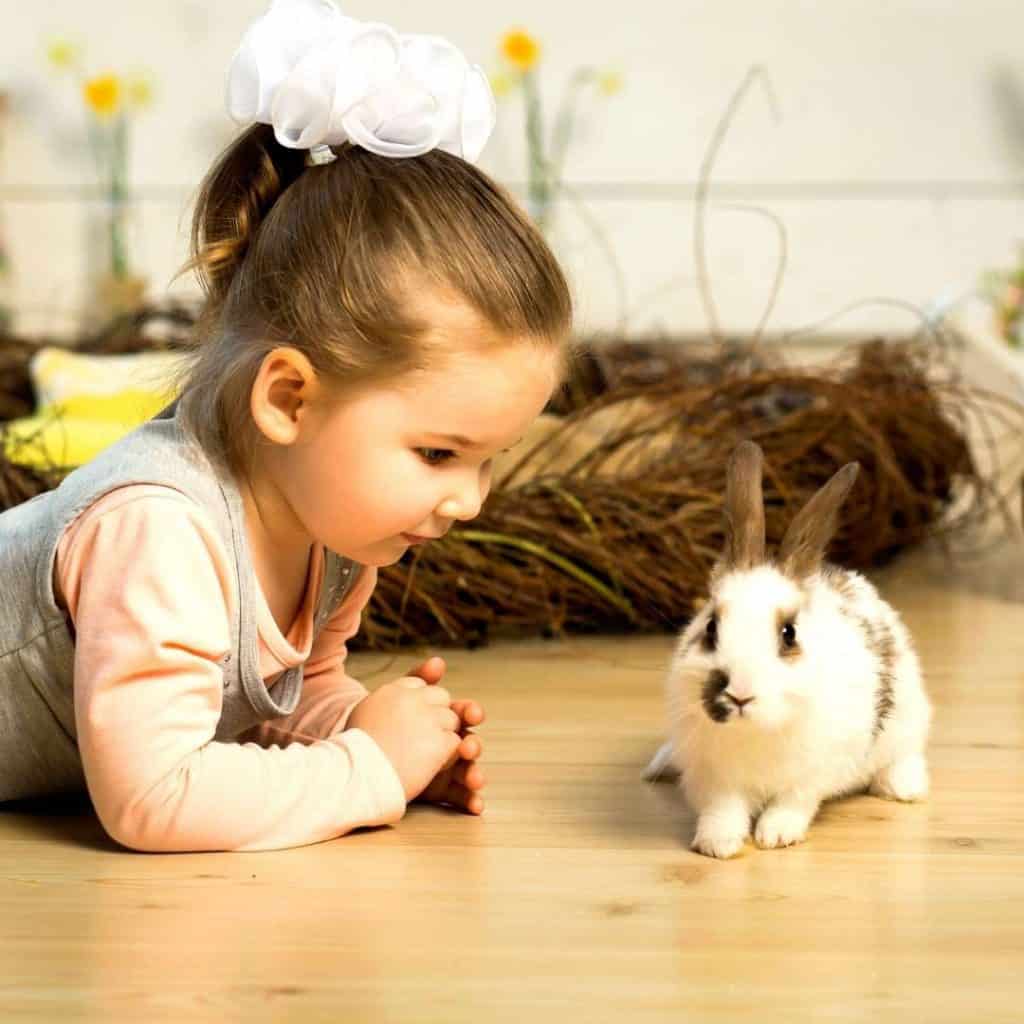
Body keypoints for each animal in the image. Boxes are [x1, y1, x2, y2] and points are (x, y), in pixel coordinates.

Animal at [643, 440, 933, 856]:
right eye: (711, 627)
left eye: (789, 634)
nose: (740, 694)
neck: (754, 731)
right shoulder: (716, 781)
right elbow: (722, 811)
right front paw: (718, 845)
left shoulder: (810, 776)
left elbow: (791, 804)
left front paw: (775, 837)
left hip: (908, 718)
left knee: (906, 754)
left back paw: (902, 788)